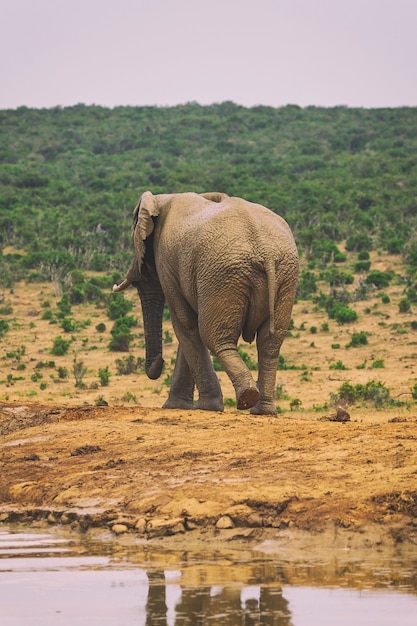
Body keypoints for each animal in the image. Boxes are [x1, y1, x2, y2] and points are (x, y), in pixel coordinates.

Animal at [112, 190, 298, 414]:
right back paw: (263, 411)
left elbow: (185, 324)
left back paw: (245, 398)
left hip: (223, 275)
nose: (158, 364)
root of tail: (266, 253)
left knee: (214, 336)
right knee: (270, 342)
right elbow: (188, 328)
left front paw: (201, 407)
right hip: (284, 276)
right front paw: (177, 406)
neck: (161, 199)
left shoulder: (167, 262)